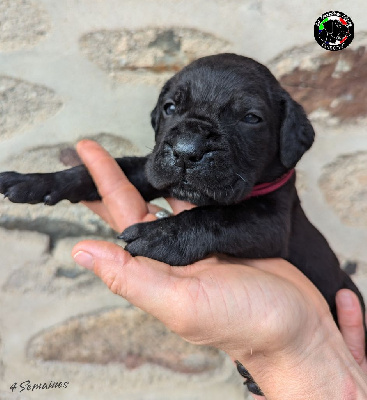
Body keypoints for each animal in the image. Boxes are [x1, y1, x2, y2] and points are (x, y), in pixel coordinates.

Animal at [0, 54, 366, 396]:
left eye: (251, 118)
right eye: (170, 107)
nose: (187, 151)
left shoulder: (271, 223)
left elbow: (214, 216)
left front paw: (159, 235)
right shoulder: (151, 167)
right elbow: (108, 168)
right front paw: (36, 181)